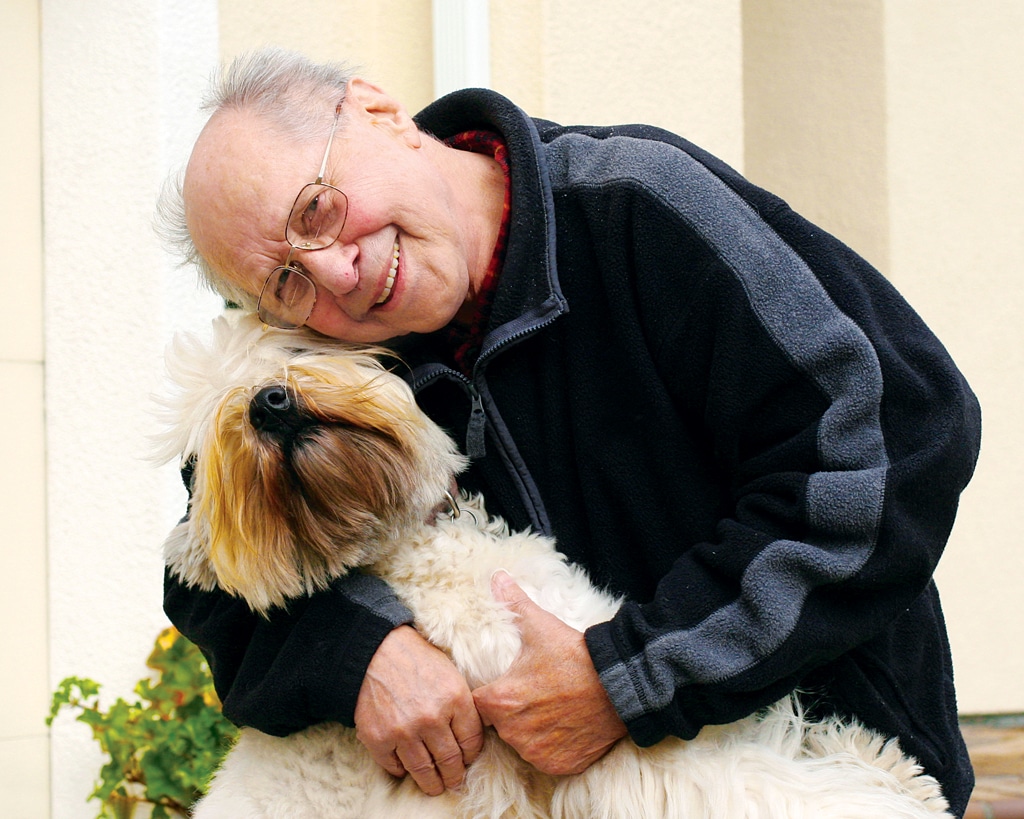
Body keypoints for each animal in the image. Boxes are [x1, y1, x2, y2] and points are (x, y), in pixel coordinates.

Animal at [155, 311, 954, 814]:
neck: (408, 552)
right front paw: (890, 780)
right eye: (218, 419)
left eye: (292, 353)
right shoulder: (622, 752)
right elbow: (767, 782)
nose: (269, 403)